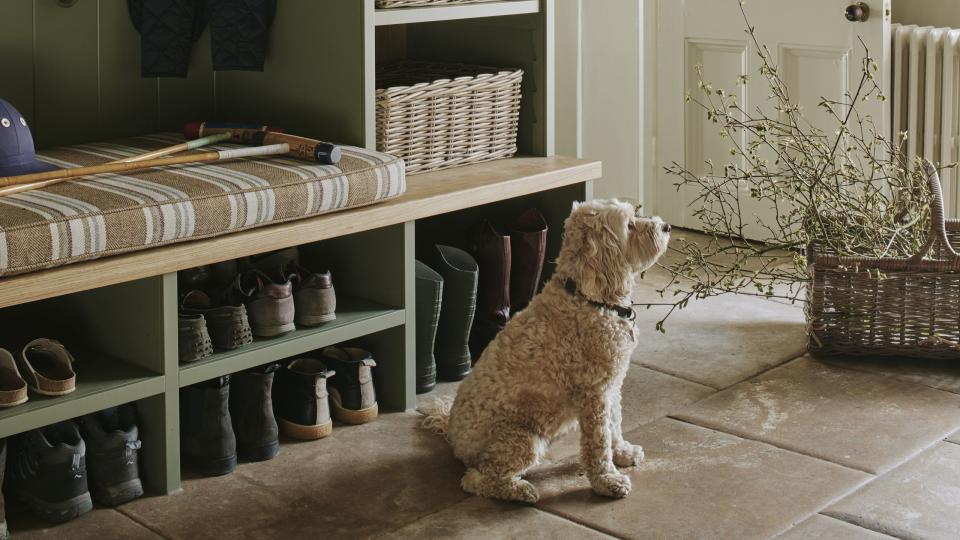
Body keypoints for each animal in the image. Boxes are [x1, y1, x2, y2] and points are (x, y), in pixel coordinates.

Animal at [424, 198, 672, 502]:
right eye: (629, 225)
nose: (666, 226)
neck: (588, 298)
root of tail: (452, 435)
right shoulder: (594, 394)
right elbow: (599, 441)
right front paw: (607, 480)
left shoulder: (611, 387)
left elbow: (615, 423)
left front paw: (623, 452)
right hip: (522, 440)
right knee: (476, 480)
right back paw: (520, 490)